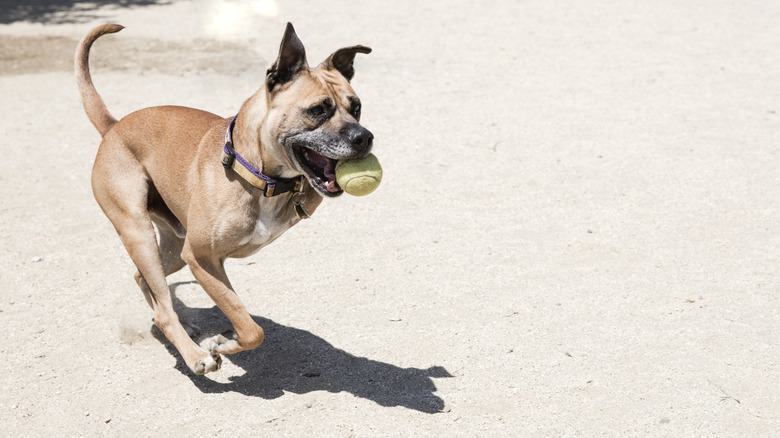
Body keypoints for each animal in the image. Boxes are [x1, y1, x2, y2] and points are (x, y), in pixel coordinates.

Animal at [74, 23, 374, 372]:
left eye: (356, 107)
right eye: (318, 110)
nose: (365, 137)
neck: (257, 175)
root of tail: (113, 127)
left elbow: (247, 326)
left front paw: (223, 342)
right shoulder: (202, 259)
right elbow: (248, 325)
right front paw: (222, 343)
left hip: (173, 248)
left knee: (146, 282)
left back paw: (183, 328)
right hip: (139, 232)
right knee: (163, 311)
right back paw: (194, 356)